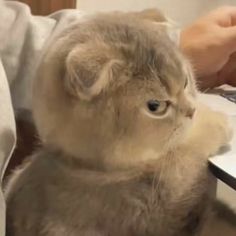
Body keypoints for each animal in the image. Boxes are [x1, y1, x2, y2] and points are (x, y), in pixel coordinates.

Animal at [4, 9, 235, 236]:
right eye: (155, 106)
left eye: (186, 82)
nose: (191, 111)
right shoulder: (166, 192)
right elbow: (191, 146)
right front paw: (216, 120)